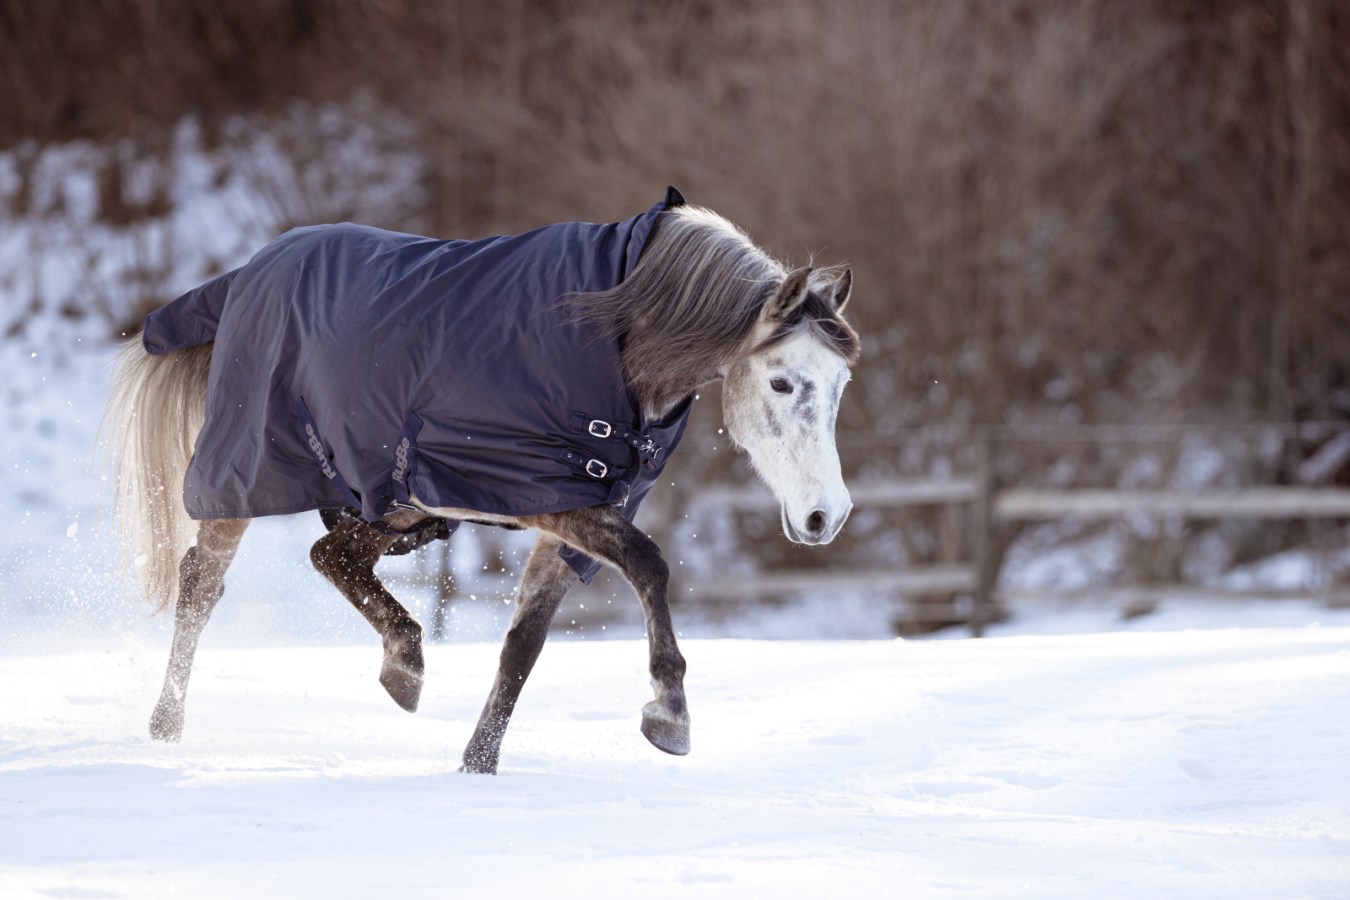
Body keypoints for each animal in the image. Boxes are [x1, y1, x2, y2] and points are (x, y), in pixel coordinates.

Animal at [103, 188, 859, 774]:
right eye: (782, 382)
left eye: (842, 384)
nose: (826, 516)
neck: (616, 339)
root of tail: (246, 274)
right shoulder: (545, 496)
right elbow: (648, 562)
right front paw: (670, 714)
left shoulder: (570, 520)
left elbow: (524, 643)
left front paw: (478, 765)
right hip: (245, 473)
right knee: (201, 585)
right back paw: (165, 730)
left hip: (399, 501)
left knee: (331, 556)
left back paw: (404, 664)